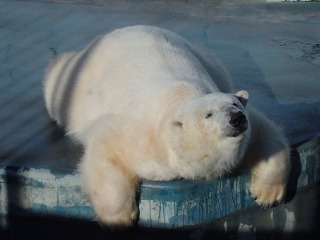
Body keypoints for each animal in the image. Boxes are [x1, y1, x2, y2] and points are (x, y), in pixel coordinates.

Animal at [43, 25, 292, 226]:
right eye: (208, 114)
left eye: (235, 103)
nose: (236, 118)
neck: (181, 98)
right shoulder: (139, 134)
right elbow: (106, 146)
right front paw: (120, 218)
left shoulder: (248, 125)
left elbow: (266, 133)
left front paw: (267, 194)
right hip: (74, 85)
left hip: (209, 60)